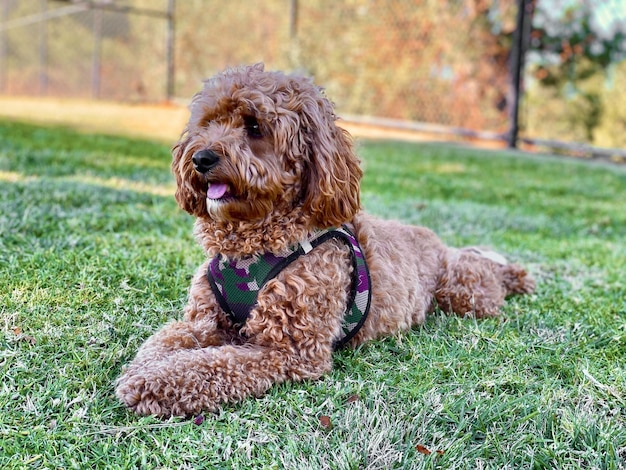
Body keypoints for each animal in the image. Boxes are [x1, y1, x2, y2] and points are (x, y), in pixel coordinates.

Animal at [114, 63, 532, 418]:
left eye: (254, 127)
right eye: (209, 122)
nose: (200, 157)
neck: (251, 247)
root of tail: (436, 242)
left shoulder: (289, 350)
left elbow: (212, 364)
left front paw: (153, 382)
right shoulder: (204, 321)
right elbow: (162, 342)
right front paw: (142, 368)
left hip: (465, 294)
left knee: (485, 277)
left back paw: (515, 275)